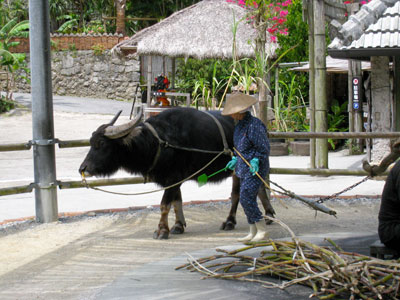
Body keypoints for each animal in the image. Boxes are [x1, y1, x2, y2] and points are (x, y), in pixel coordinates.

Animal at [79, 107, 276, 239]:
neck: (160, 141)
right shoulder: (174, 180)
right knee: (254, 189)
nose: (83, 168)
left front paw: (162, 230)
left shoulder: (173, 178)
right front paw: (178, 226)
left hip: (242, 167)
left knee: (238, 194)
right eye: (90, 142)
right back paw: (268, 214)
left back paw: (231, 221)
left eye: (101, 144)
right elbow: (177, 202)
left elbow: (164, 205)